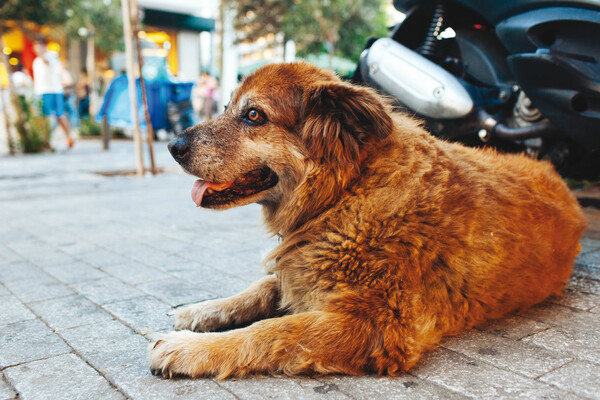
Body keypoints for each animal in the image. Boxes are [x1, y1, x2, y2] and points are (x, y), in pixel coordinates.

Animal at [150, 61, 584, 378]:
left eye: (253, 115)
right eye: (226, 108)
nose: (172, 146)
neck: (344, 194)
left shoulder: (376, 325)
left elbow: (273, 330)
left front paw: (190, 349)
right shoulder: (303, 268)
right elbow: (260, 288)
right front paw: (201, 311)